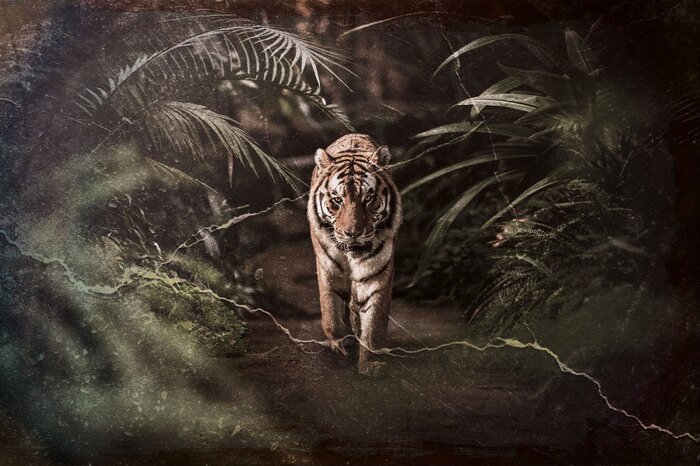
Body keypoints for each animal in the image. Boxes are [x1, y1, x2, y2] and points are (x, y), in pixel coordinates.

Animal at [307, 133, 402, 375]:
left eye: (368, 199)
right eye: (337, 200)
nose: (353, 233)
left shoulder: (376, 274)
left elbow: (374, 326)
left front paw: (369, 365)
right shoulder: (328, 270)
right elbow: (331, 314)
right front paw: (340, 348)